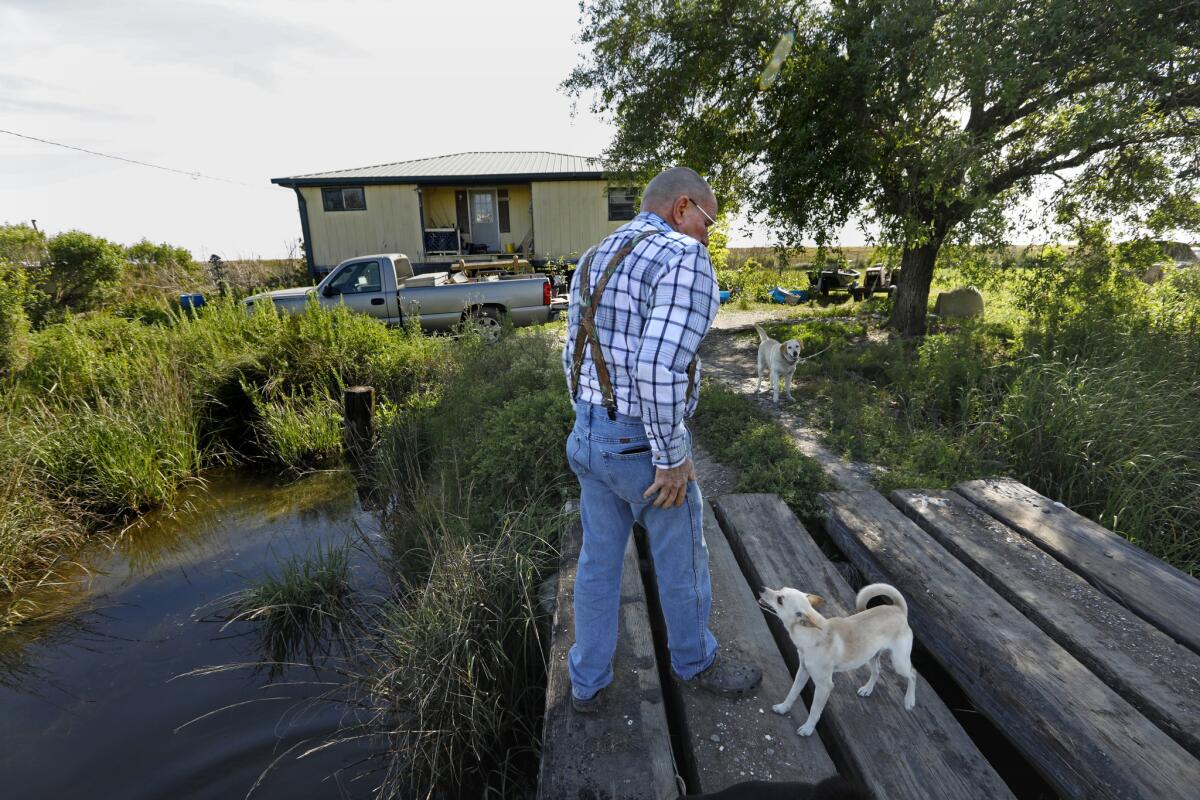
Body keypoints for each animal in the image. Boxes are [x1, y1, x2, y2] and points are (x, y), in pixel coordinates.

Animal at [758, 582, 916, 738]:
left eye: (780, 600)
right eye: (780, 589)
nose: (761, 588)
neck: (810, 634)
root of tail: (898, 609)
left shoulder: (824, 687)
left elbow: (815, 710)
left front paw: (808, 729)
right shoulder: (802, 671)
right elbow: (793, 692)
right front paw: (783, 708)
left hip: (899, 662)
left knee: (912, 674)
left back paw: (909, 700)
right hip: (870, 655)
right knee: (877, 670)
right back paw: (867, 689)